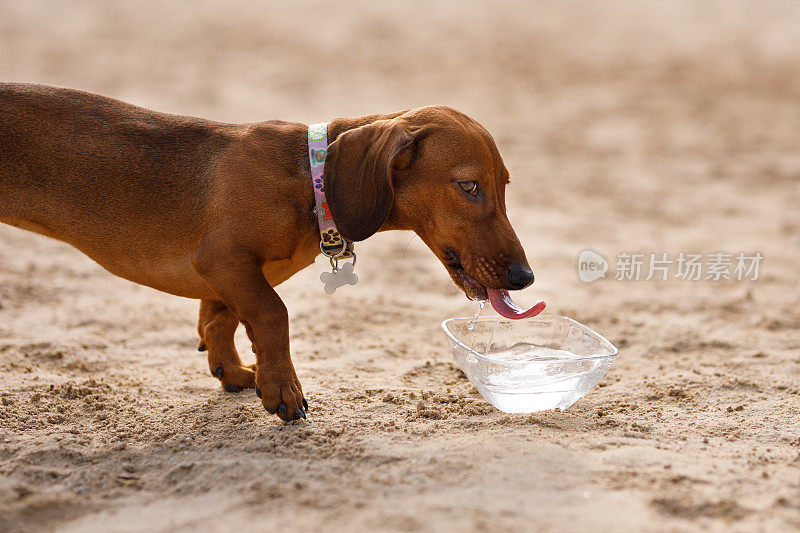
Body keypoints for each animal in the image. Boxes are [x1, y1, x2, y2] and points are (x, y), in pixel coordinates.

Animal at [1, 83, 536, 420]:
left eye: (505, 186)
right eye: (468, 186)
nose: (525, 277)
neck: (307, 176)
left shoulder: (224, 277)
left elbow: (220, 320)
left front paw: (235, 371)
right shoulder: (223, 260)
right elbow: (273, 313)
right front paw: (284, 389)